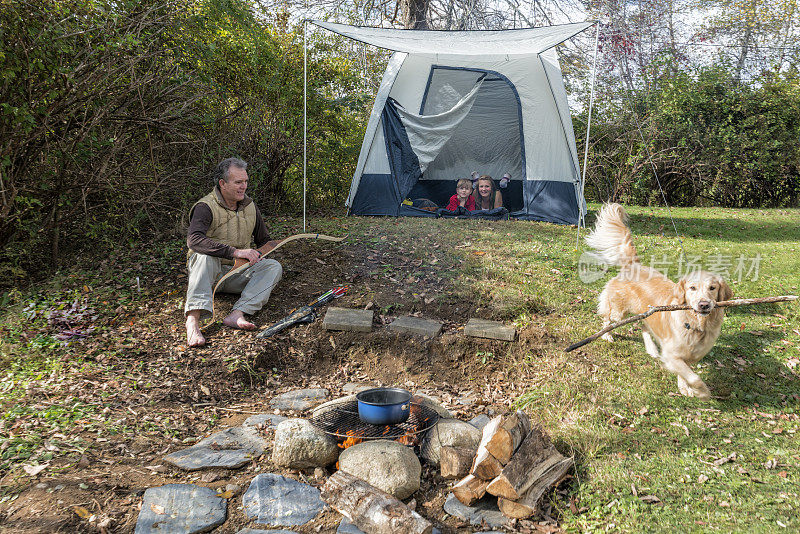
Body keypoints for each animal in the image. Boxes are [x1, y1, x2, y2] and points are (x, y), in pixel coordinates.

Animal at [580, 203, 732, 400]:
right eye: (692, 288)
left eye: (712, 288)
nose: (704, 304)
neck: (696, 324)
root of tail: (634, 265)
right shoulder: (672, 354)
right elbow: (694, 377)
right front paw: (703, 392)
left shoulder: (691, 355)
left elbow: (687, 373)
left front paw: (684, 387)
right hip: (619, 311)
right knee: (608, 318)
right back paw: (607, 335)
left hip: (648, 311)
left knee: (644, 325)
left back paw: (651, 349)